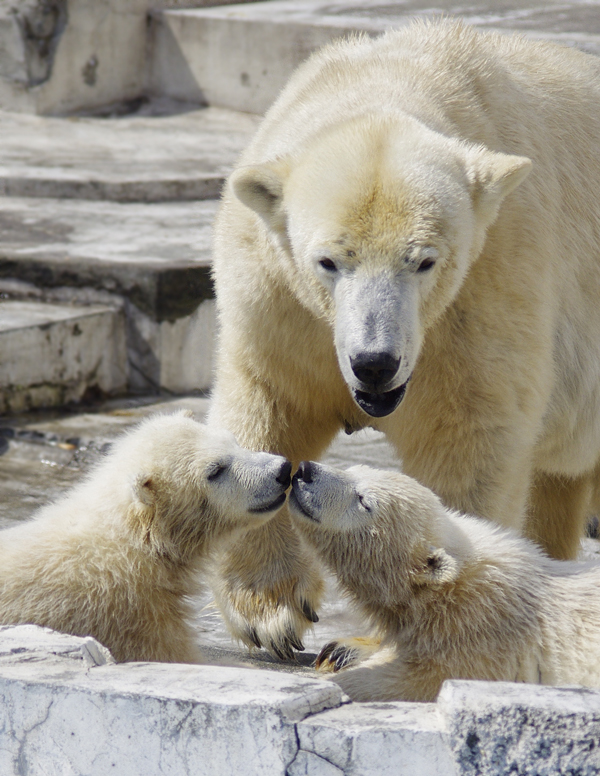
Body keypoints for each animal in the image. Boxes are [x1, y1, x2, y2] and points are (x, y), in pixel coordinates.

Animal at [209, 18, 600, 656]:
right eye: (328, 261)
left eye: (424, 261)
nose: (375, 362)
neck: (392, 79)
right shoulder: (279, 305)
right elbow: (271, 406)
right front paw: (271, 610)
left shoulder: (486, 280)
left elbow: (465, 439)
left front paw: (372, 636)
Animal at [288, 460, 600, 704]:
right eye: (352, 470)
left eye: (364, 501)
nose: (304, 470)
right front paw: (343, 650)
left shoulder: (475, 640)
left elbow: (415, 680)